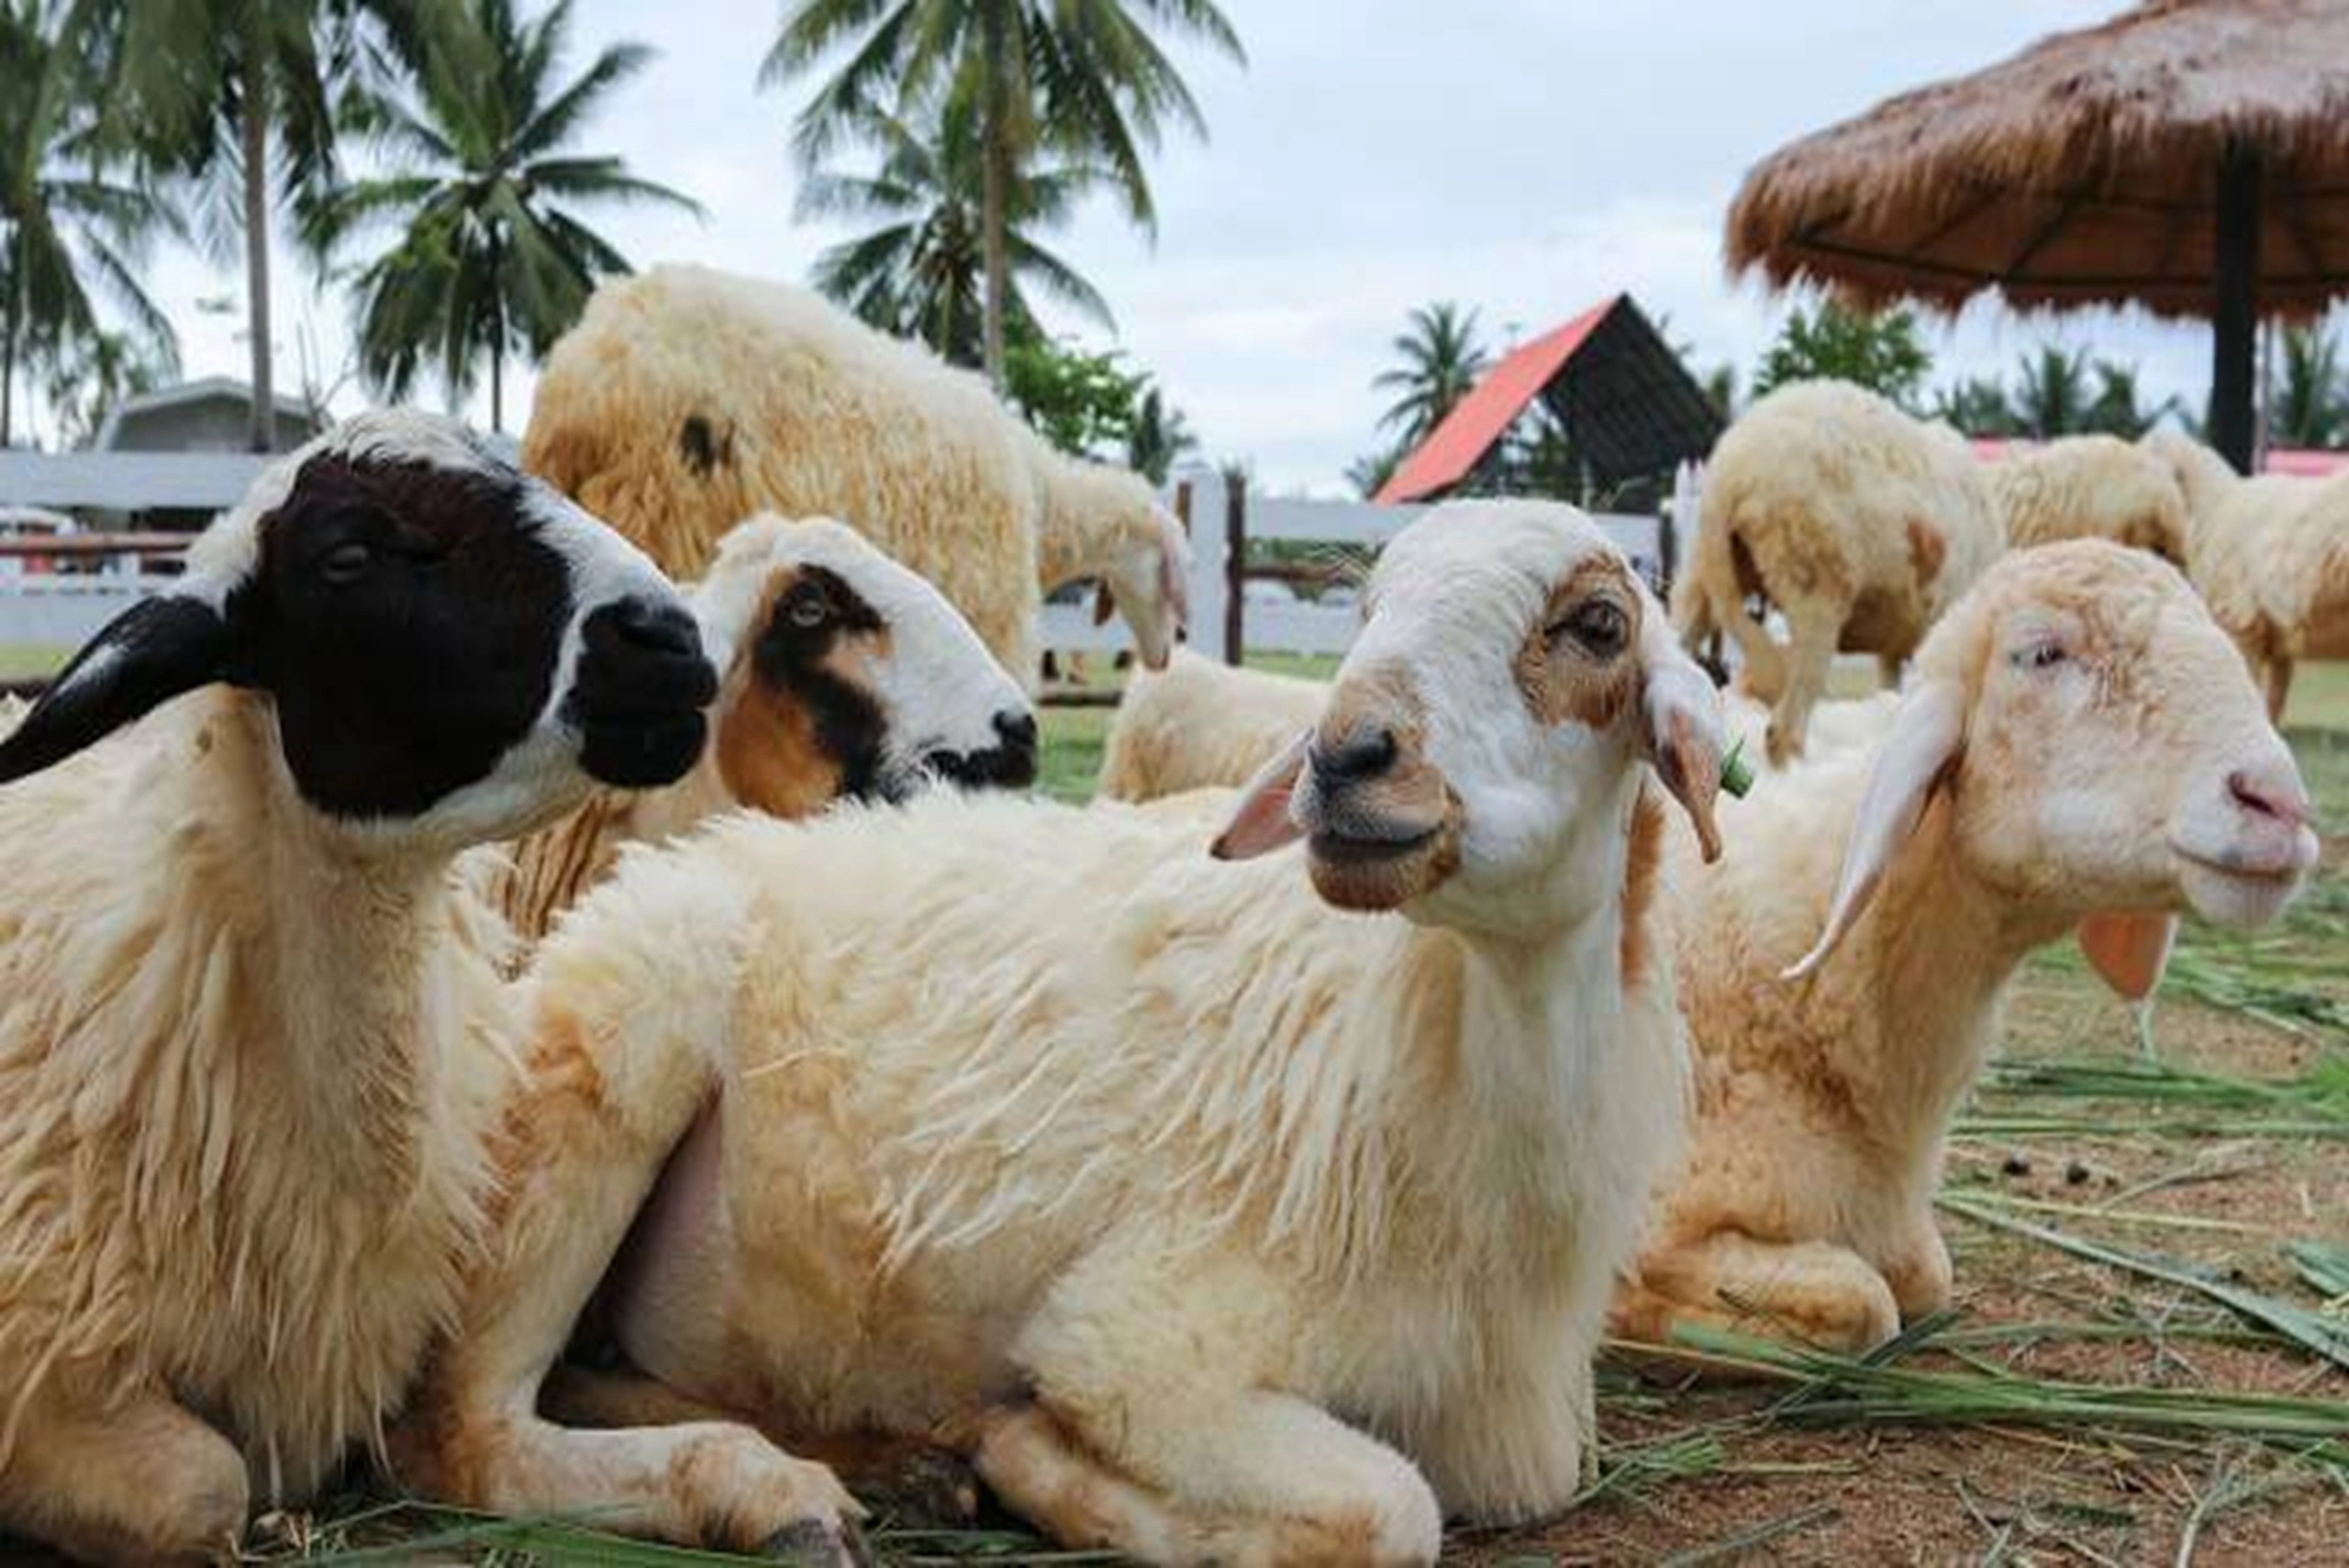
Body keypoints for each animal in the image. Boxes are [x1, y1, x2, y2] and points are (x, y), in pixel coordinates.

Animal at [1614, 541, 2318, 1354]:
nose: (2281, 804)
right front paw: (1642, 1315)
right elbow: (1864, 1303)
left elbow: (1927, 1275)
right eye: (2041, 653)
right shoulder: (1654, 1204)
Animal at [1670, 379, 2005, 764]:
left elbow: (1891, 687)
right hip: (1815, 585)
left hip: (1704, 570)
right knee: (1785, 724)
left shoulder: (1898, 645)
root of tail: (1733, 477)